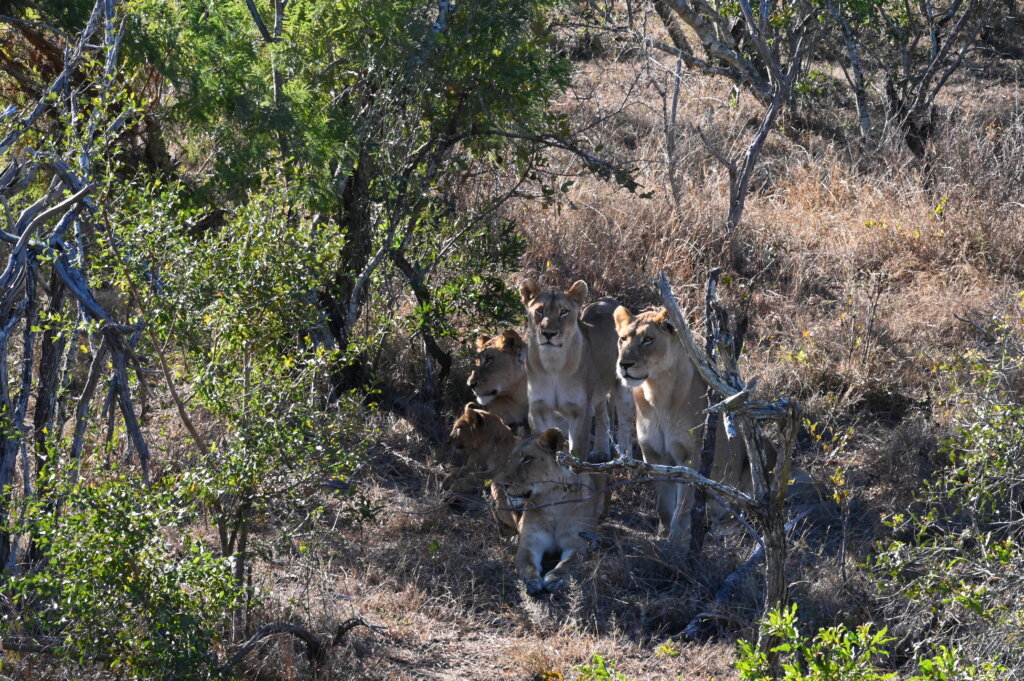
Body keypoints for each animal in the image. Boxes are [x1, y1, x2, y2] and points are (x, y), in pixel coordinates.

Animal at [446, 403, 520, 532]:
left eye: (459, 427)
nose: (448, 441)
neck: (483, 447)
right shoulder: (472, 465)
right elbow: (457, 470)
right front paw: (446, 480)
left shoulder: (497, 470)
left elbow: (475, 476)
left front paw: (456, 485)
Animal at [495, 428, 606, 593]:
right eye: (509, 459)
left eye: (527, 459)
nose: (503, 484)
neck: (552, 499)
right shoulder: (530, 541)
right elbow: (526, 562)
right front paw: (529, 581)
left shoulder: (577, 542)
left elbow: (569, 563)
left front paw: (556, 578)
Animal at [520, 278, 630, 462]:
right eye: (540, 311)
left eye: (564, 312)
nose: (548, 333)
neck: (553, 364)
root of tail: (610, 300)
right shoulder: (537, 410)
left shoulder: (581, 411)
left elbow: (578, 452)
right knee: (603, 417)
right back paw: (601, 451)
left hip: (623, 386)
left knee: (625, 424)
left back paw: (625, 457)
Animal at [610, 305, 749, 544]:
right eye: (623, 338)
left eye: (648, 339)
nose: (624, 365)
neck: (657, 392)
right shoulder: (653, 454)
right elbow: (663, 502)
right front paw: (663, 534)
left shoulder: (690, 457)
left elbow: (684, 504)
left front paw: (677, 540)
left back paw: (721, 530)